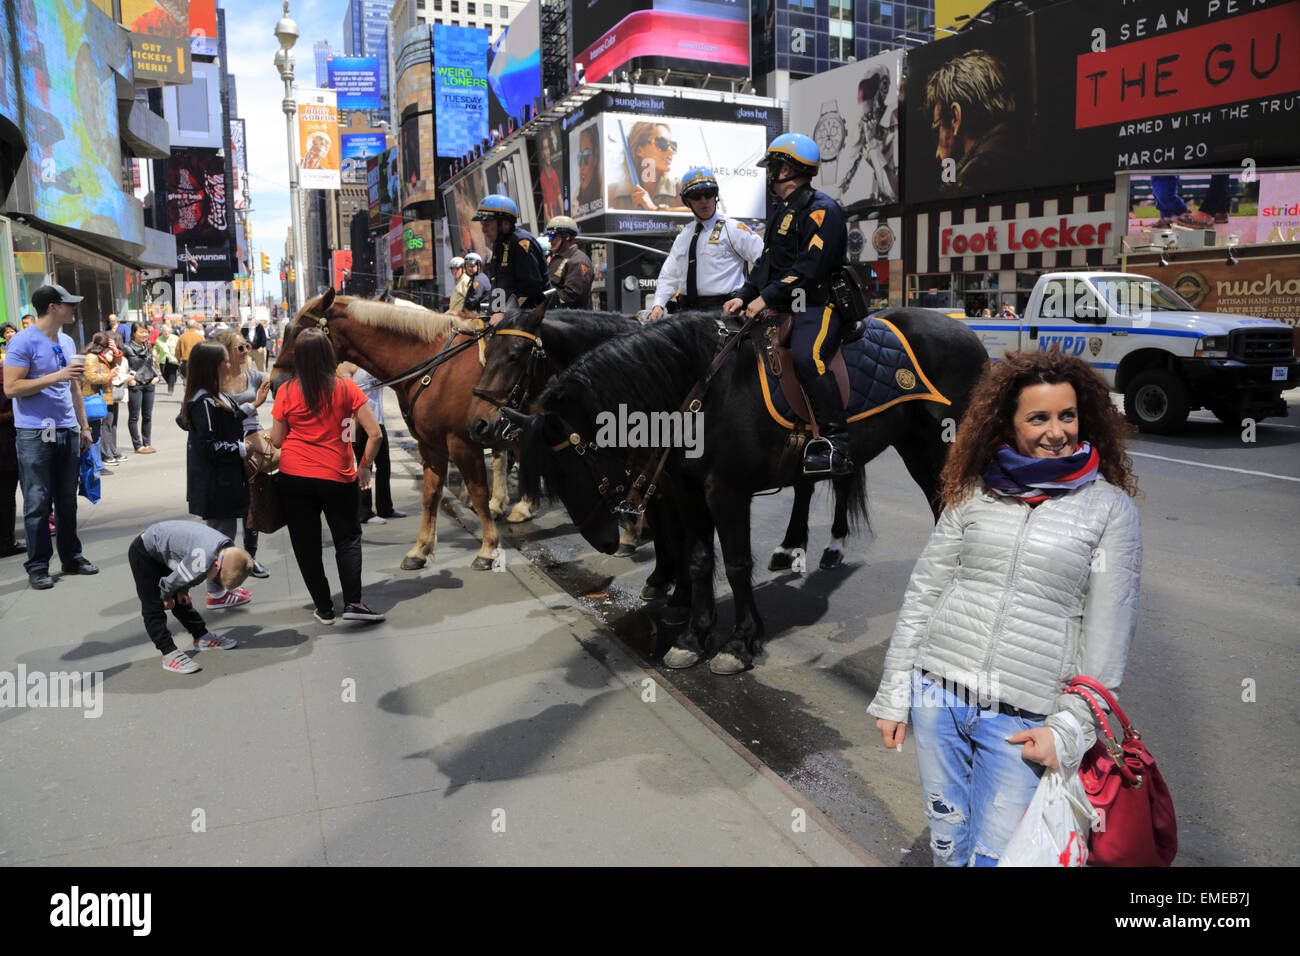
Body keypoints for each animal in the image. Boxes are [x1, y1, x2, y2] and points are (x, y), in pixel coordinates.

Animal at [269, 291, 501, 572]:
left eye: (298, 333)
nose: (274, 384)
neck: (436, 364)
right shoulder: (431, 445)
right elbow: (430, 495)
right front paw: (420, 549)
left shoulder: (463, 443)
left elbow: (478, 494)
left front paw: (488, 549)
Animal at [467, 306, 863, 595]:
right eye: (486, 353)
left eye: (514, 355)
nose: (479, 424)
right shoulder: (661, 480)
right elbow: (667, 530)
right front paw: (664, 577)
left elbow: (671, 530)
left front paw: (668, 580)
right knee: (806, 487)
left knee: (841, 482)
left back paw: (832, 546)